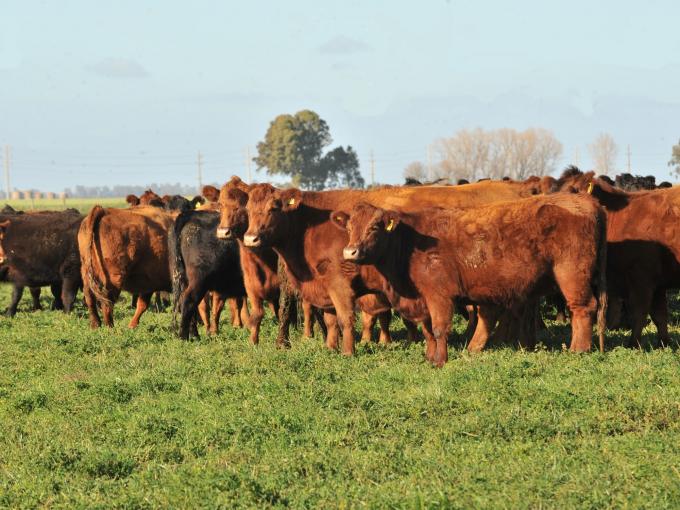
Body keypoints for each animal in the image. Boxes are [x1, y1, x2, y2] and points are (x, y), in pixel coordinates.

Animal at [334, 195, 604, 366]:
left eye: (374, 228)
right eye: (349, 228)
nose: (350, 252)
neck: (409, 243)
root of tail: (588, 202)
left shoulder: (439, 295)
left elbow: (439, 328)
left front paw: (440, 361)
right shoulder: (423, 298)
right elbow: (427, 330)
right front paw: (430, 357)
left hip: (571, 275)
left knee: (583, 309)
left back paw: (578, 350)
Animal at [552, 167, 680, 346]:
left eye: (571, 192)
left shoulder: (641, 277)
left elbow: (639, 312)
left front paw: (633, 343)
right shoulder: (658, 282)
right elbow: (660, 315)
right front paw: (664, 343)